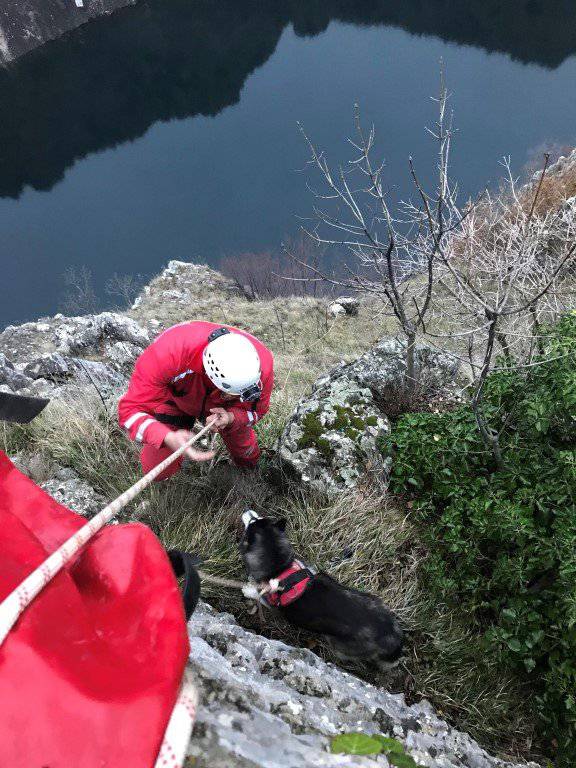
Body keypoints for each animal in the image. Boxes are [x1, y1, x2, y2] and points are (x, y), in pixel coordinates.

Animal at [241, 512, 402, 668]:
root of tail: (392, 637)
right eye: (259, 518)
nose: (247, 510)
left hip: (340, 647)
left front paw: (247, 589)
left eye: (252, 523)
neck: (281, 567)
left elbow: (256, 593)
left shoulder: (271, 603)